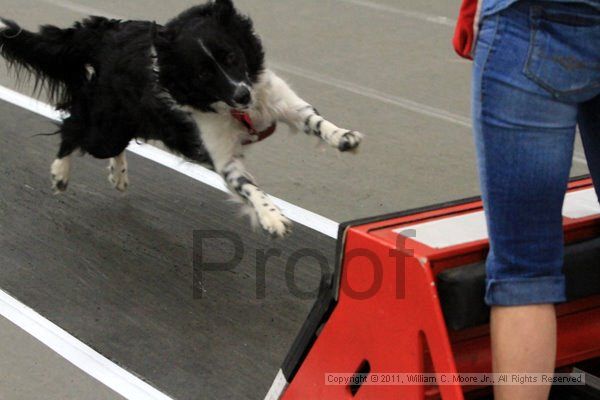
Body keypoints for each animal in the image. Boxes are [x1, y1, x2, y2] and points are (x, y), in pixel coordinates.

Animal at [0, 0, 360, 238]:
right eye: (203, 74)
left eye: (232, 56)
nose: (242, 95)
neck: (234, 109)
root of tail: (105, 33)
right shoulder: (224, 157)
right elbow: (249, 188)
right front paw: (272, 218)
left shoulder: (277, 100)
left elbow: (314, 120)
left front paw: (344, 137)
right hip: (106, 126)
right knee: (73, 128)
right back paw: (59, 174)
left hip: (130, 121)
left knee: (108, 141)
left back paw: (118, 175)